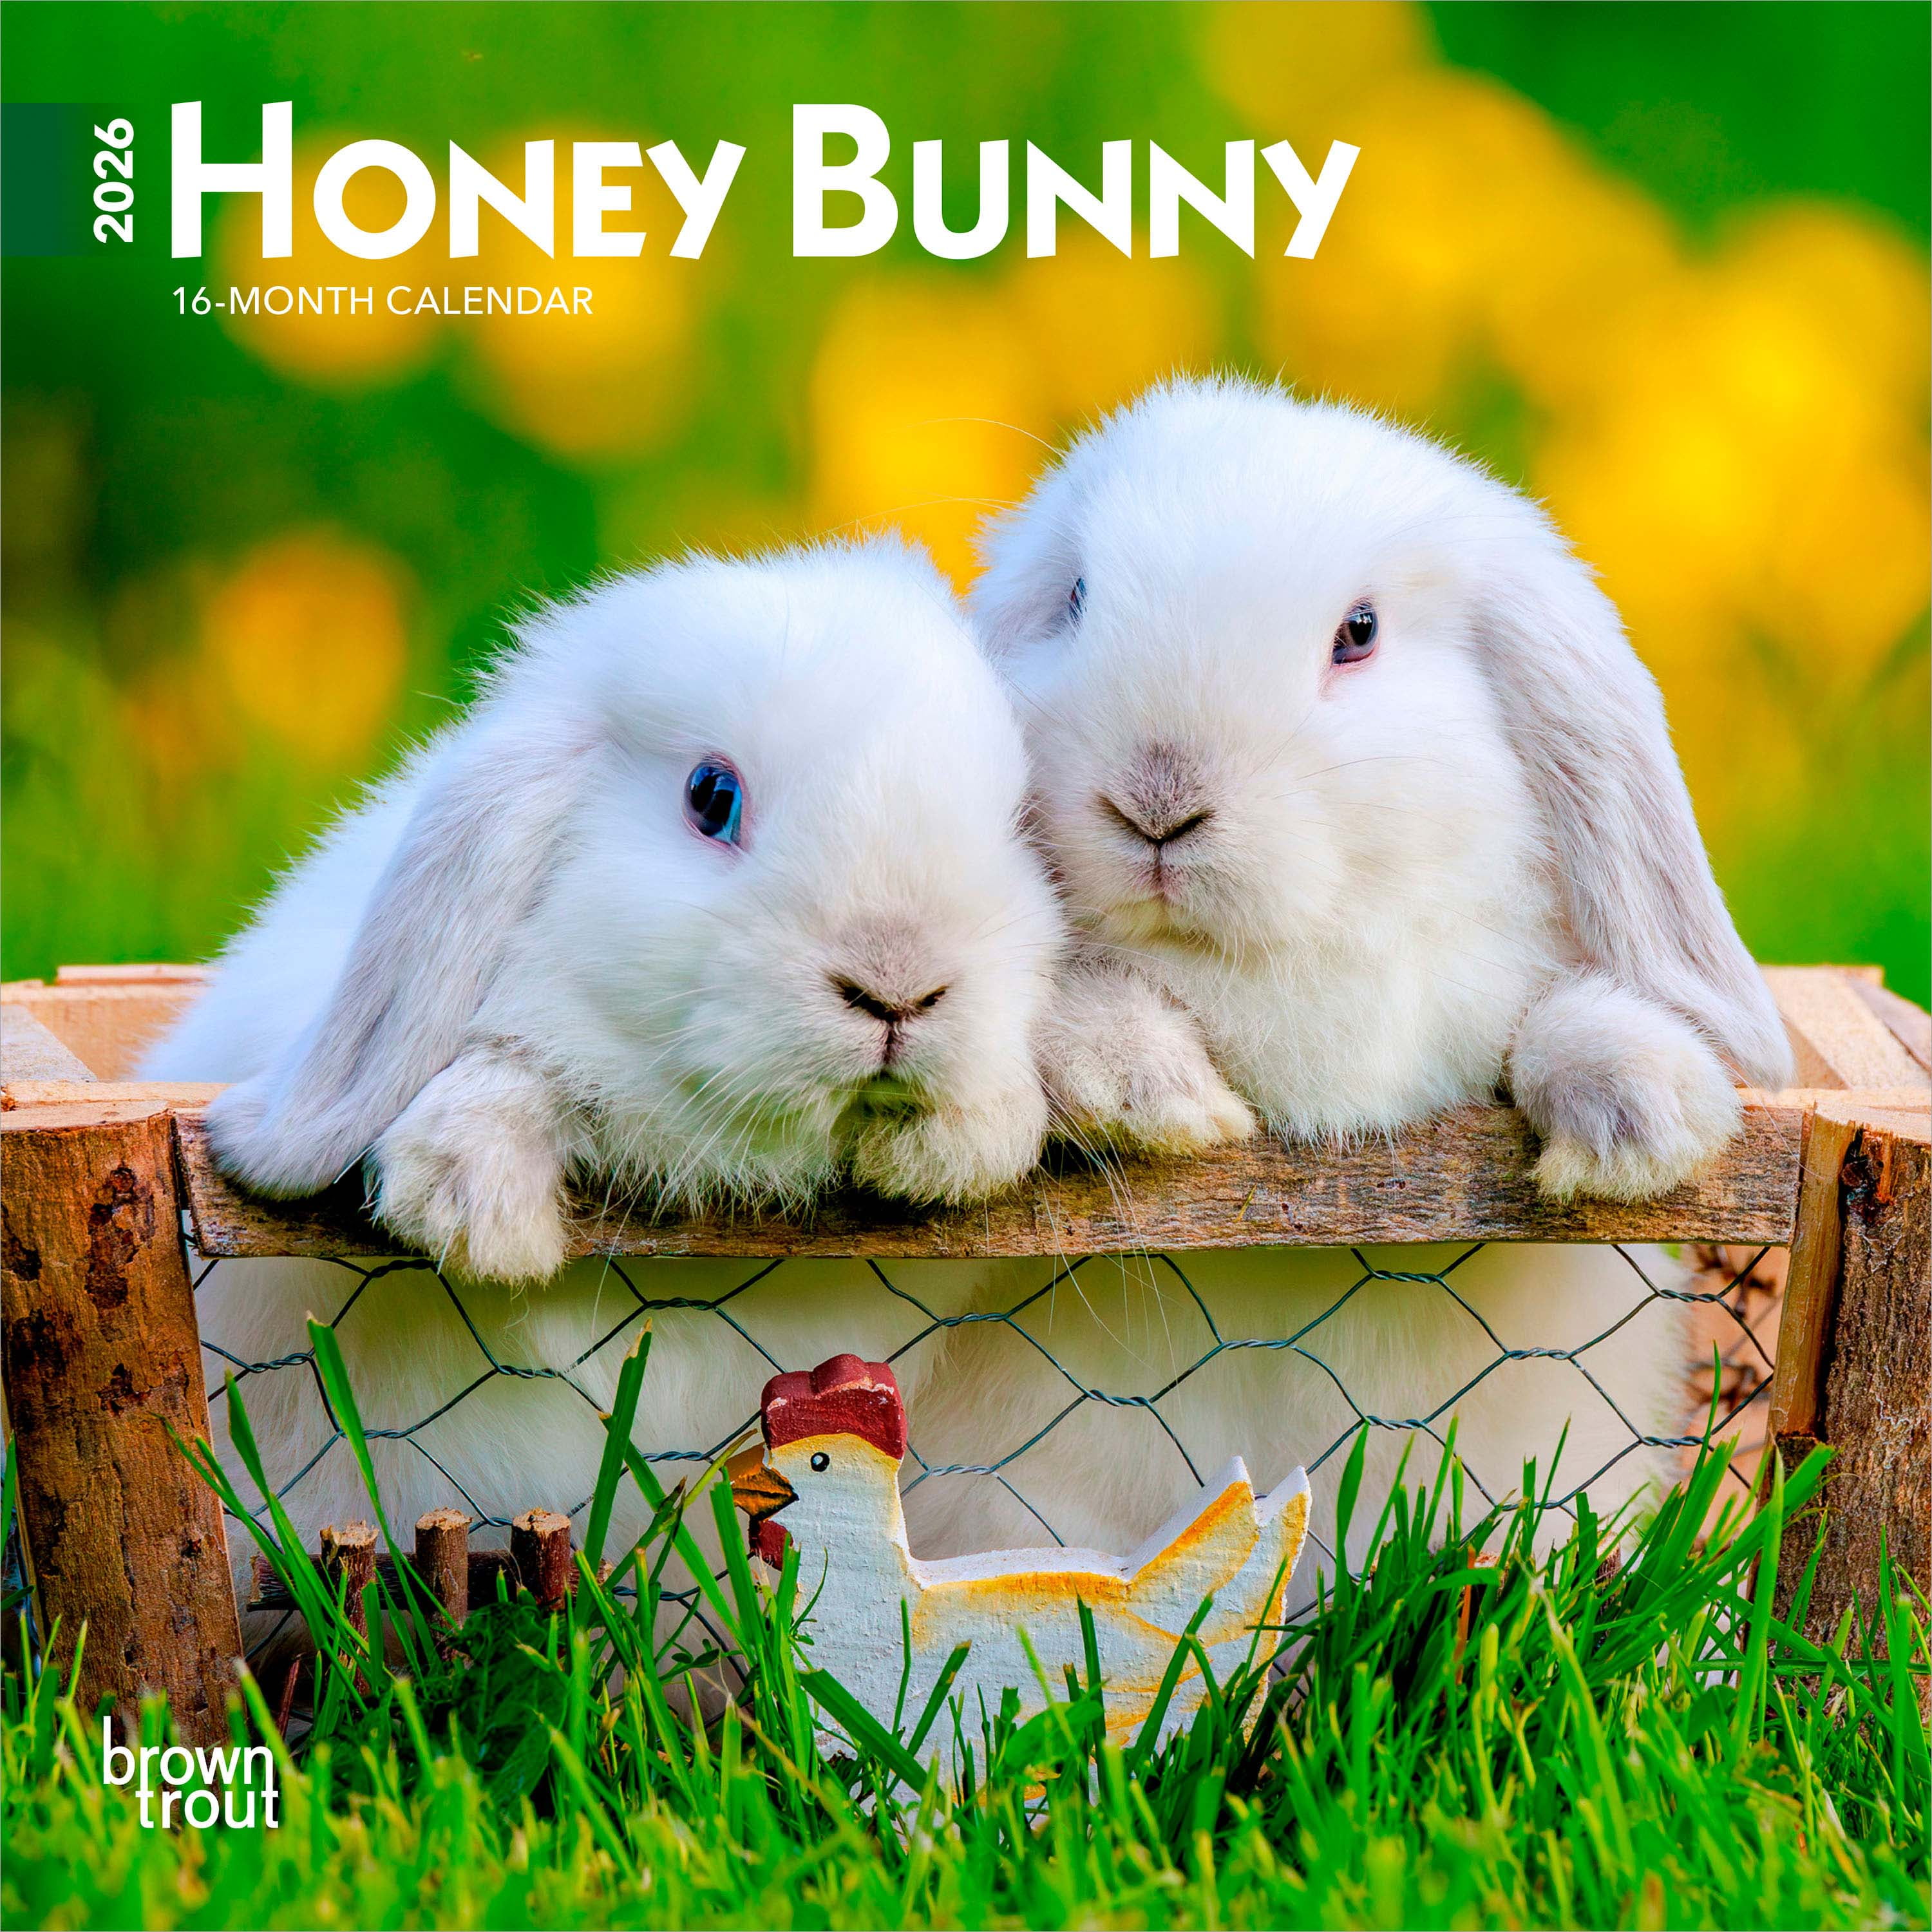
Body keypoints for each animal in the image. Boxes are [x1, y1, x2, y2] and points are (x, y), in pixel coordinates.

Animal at [141, 537, 1064, 1617]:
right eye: (712, 797)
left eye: (1017, 822)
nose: (898, 986)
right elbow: (513, 1069)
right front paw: (474, 1211)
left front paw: (959, 1143)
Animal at [900, 376, 1793, 1589]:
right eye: (1076, 599)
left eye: (1358, 634)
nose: (1155, 801)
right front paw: (1161, 1101)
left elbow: (1547, 1026)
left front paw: (1640, 1125)